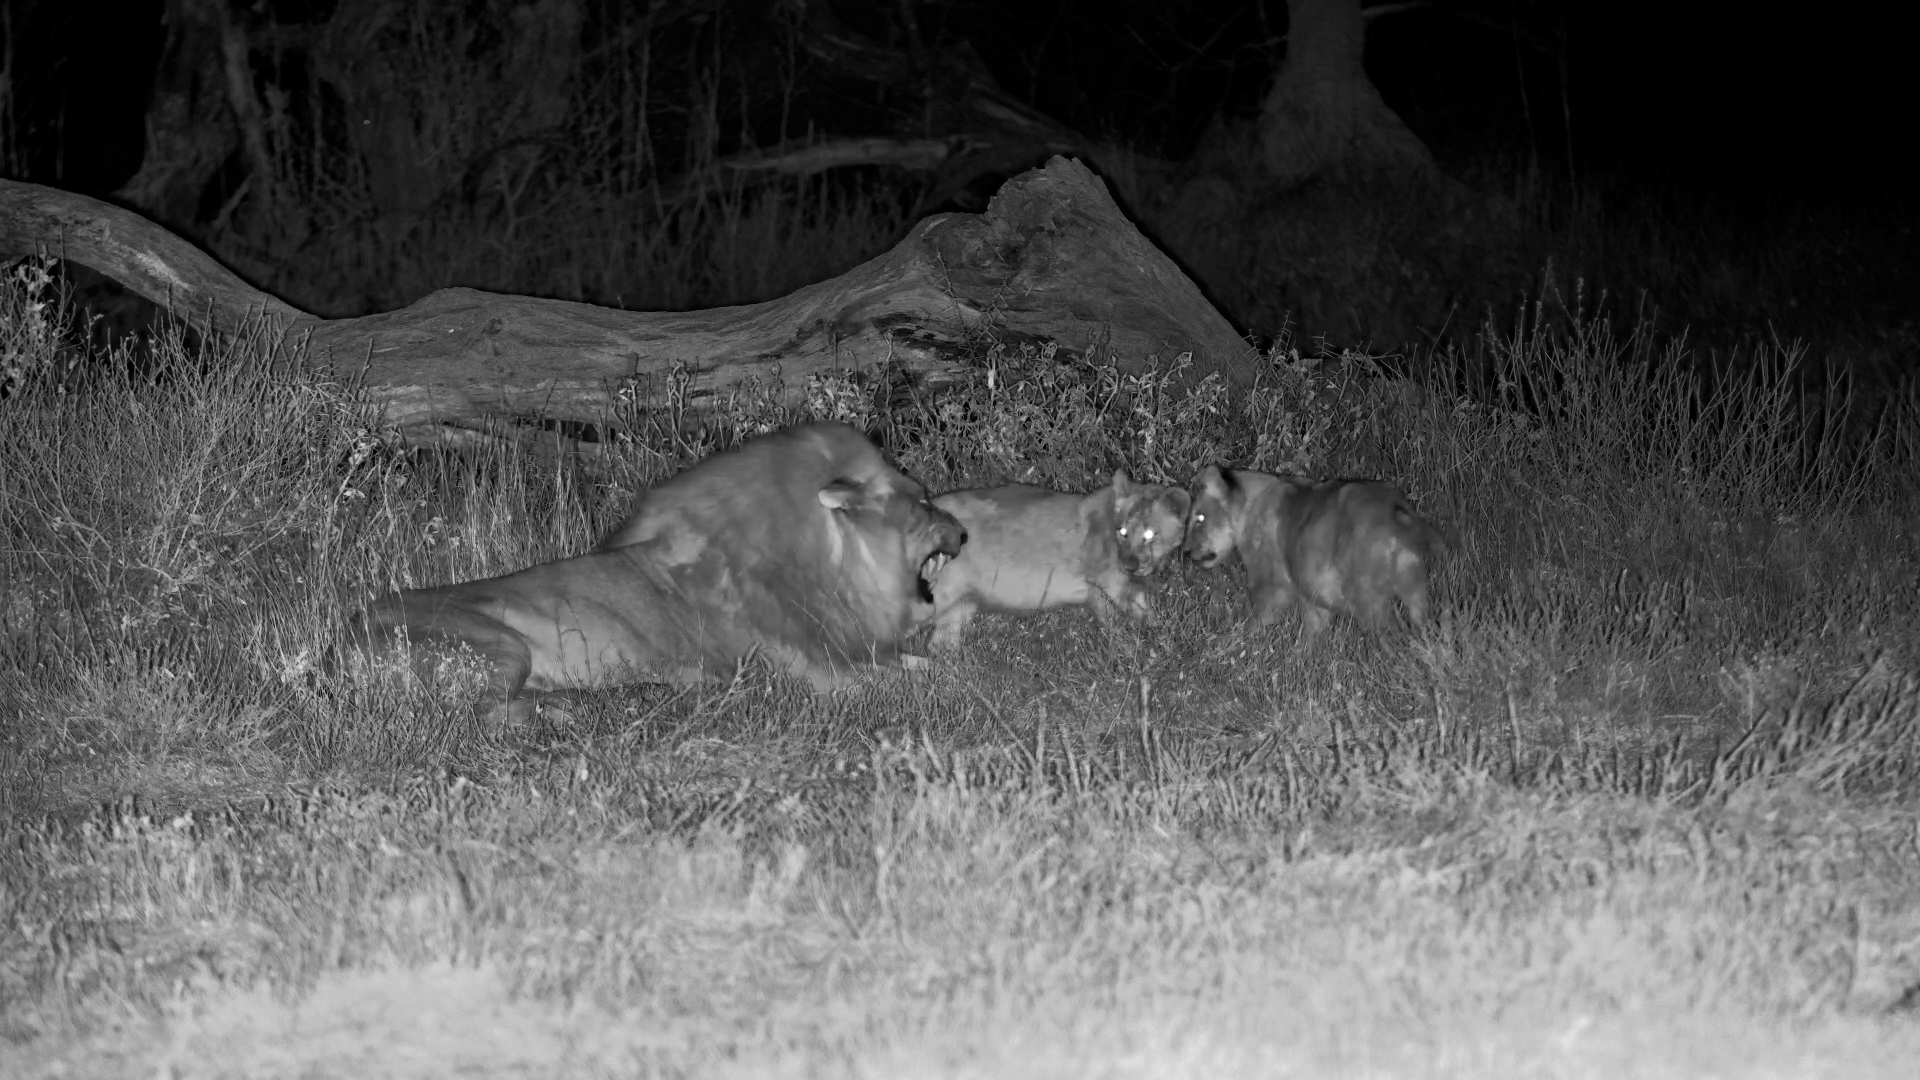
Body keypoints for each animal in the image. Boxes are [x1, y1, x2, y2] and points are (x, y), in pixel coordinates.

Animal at [348, 423, 966, 721]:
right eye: (924, 501)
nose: (964, 533)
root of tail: (340, 641)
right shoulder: (813, 674)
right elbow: (905, 683)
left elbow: (924, 666)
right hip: (501, 647)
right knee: (482, 714)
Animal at [920, 469, 1191, 652]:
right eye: (1122, 531)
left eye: (1150, 534)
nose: (1130, 565)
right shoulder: (1108, 578)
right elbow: (1138, 604)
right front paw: (1157, 641)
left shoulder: (1097, 590)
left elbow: (1115, 617)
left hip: (959, 606)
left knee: (939, 645)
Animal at [1183, 465, 1436, 639]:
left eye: (1199, 517)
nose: (1185, 552)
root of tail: (1393, 506)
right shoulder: (1313, 593)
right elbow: (1312, 632)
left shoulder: (1271, 583)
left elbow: (1258, 617)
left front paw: (1237, 642)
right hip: (1414, 588)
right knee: (1422, 627)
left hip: (1366, 595)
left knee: (1391, 634)